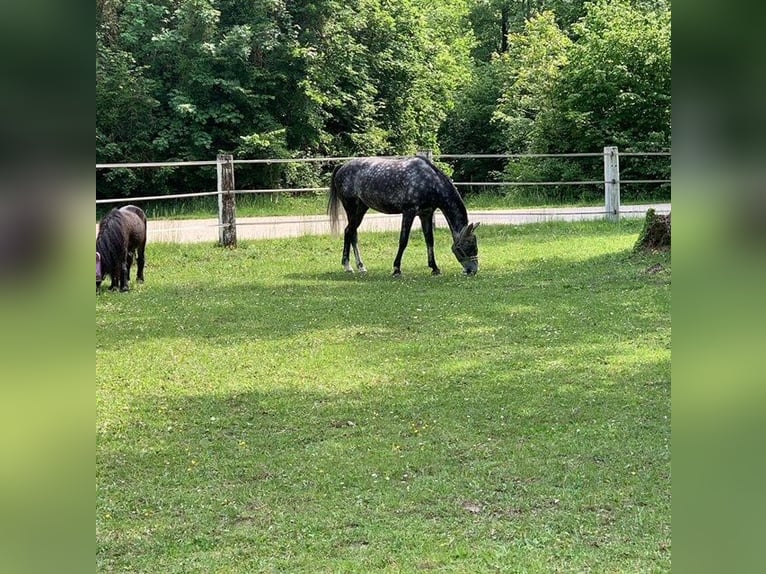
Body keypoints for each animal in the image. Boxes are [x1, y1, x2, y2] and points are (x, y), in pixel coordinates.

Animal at [328, 156, 484, 276]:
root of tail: (342, 167)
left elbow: (429, 240)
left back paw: (361, 267)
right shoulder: (409, 212)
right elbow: (403, 241)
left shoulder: (426, 214)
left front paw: (435, 268)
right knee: (349, 231)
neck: (430, 182)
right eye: (468, 246)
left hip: (361, 208)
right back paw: (348, 267)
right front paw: (396, 269)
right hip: (351, 208)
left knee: (352, 233)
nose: (473, 270)